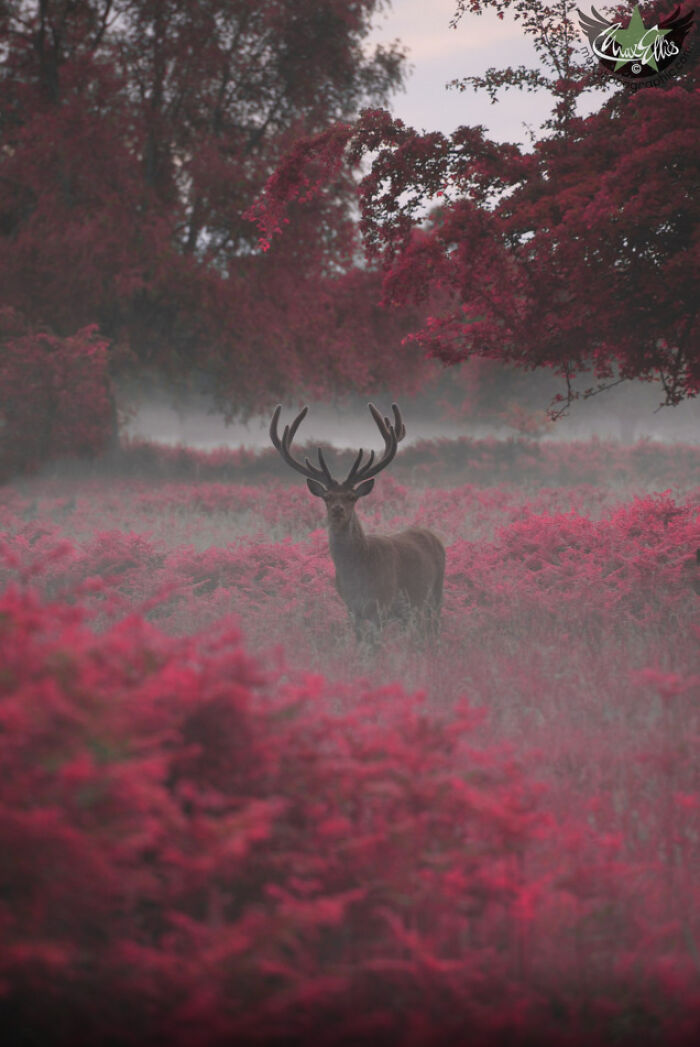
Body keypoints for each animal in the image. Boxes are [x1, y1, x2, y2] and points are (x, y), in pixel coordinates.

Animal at [270, 402, 445, 644]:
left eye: (352, 497)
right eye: (327, 497)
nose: (337, 510)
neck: (358, 574)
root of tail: (433, 536)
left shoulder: (382, 603)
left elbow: (375, 645)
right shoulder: (351, 607)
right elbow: (360, 641)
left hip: (436, 592)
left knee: (433, 625)